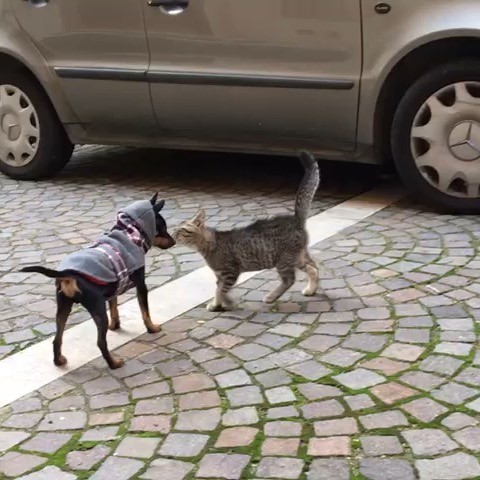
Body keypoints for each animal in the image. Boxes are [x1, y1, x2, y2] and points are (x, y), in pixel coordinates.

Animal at [21, 193, 175, 369]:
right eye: (162, 228)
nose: (174, 241)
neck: (129, 233)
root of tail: (68, 273)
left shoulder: (114, 287)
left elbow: (114, 308)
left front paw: (115, 326)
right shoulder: (141, 285)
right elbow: (145, 311)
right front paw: (152, 328)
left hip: (63, 308)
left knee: (56, 339)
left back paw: (59, 361)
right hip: (98, 310)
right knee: (100, 342)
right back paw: (114, 363)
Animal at [172, 151, 320, 311]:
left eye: (180, 230)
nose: (172, 235)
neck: (211, 243)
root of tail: (295, 218)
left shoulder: (229, 272)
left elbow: (220, 290)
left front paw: (223, 302)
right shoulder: (220, 276)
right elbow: (218, 289)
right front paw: (219, 303)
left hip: (284, 261)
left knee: (290, 280)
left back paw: (271, 296)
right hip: (296, 257)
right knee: (314, 268)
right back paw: (311, 289)